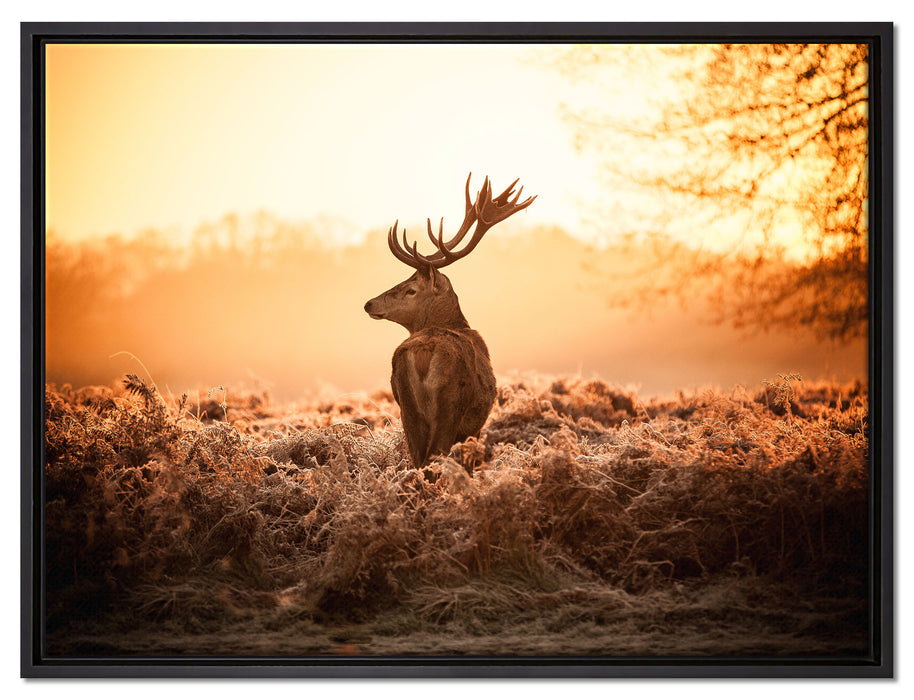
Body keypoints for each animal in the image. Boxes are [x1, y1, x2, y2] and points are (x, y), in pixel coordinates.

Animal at [364, 173, 536, 473]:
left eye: (410, 289)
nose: (369, 304)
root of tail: (423, 351)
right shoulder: (474, 426)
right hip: (450, 405)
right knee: (435, 457)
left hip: (407, 407)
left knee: (417, 458)